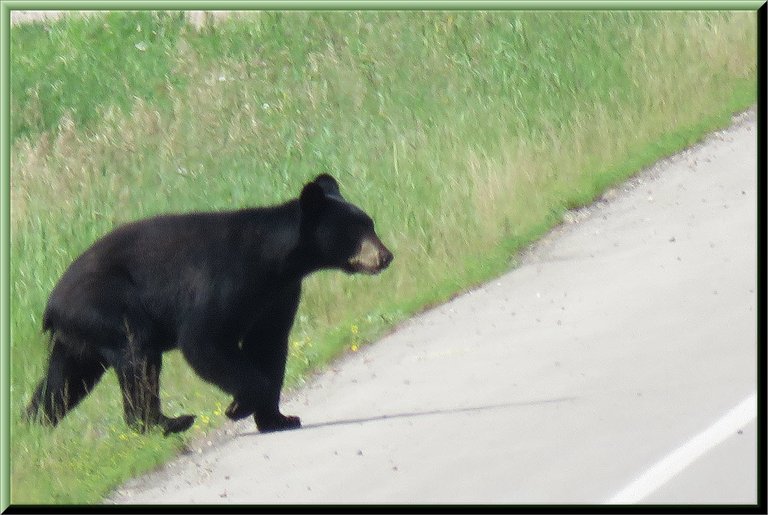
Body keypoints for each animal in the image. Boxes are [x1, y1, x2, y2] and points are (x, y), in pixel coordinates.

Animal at [26, 174, 392, 436]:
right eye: (356, 230)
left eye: (370, 223)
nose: (385, 256)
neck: (275, 262)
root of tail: (51, 304)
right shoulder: (224, 280)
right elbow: (203, 340)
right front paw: (239, 406)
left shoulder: (278, 296)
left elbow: (269, 345)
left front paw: (279, 418)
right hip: (104, 306)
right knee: (137, 354)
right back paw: (165, 422)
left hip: (78, 339)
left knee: (63, 383)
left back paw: (33, 426)